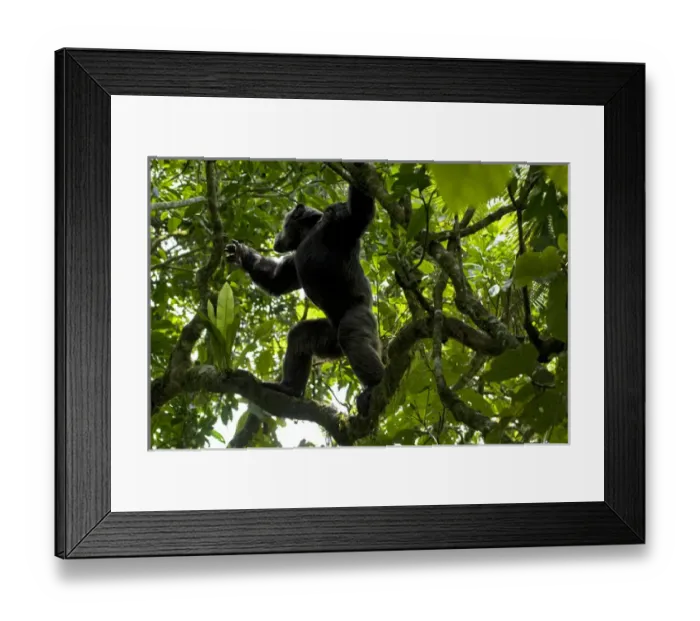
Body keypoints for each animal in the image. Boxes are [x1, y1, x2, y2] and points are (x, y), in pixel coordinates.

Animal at [226, 169, 383, 418]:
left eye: (284, 223)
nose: (277, 237)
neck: (309, 233)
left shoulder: (338, 219)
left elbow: (359, 211)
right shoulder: (292, 262)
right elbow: (278, 280)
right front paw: (241, 253)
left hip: (360, 317)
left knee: (353, 337)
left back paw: (374, 384)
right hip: (329, 340)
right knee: (300, 336)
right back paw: (289, 387)